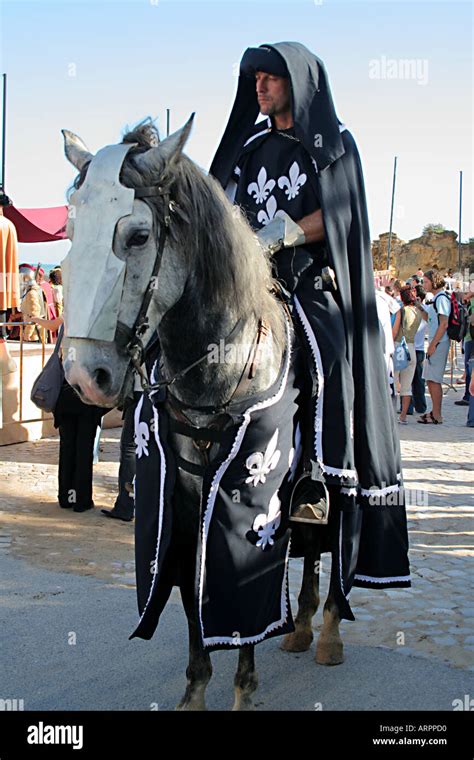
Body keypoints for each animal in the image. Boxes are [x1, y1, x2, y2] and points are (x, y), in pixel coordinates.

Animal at [62, 116, 344, 708]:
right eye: (71, 232)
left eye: (138, 236)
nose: (82, 377)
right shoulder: (188, 500)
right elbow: (195, 592)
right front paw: (195, 689)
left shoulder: (251, 500)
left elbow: (242, 597)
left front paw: (243, 688)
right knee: (312, 544)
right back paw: (302, 626)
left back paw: (328, 631)